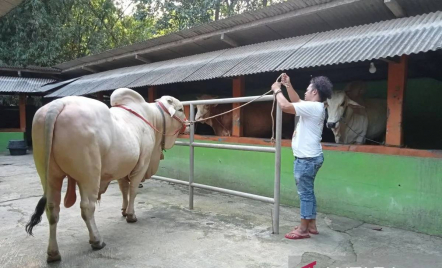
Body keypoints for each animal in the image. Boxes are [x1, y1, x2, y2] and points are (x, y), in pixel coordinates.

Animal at [24, 87, 186, 262]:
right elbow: (133, 190)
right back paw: (97, 240)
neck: (152, 118)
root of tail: (58, 103)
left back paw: (53, 253)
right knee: (87, 207)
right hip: (89, 175)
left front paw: (124, 210)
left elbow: (123, 188)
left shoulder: (124, 167)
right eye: (181, 109)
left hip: (49, 175)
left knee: (52, 209)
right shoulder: (142, 164)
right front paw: (130, 215)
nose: (188, 125)